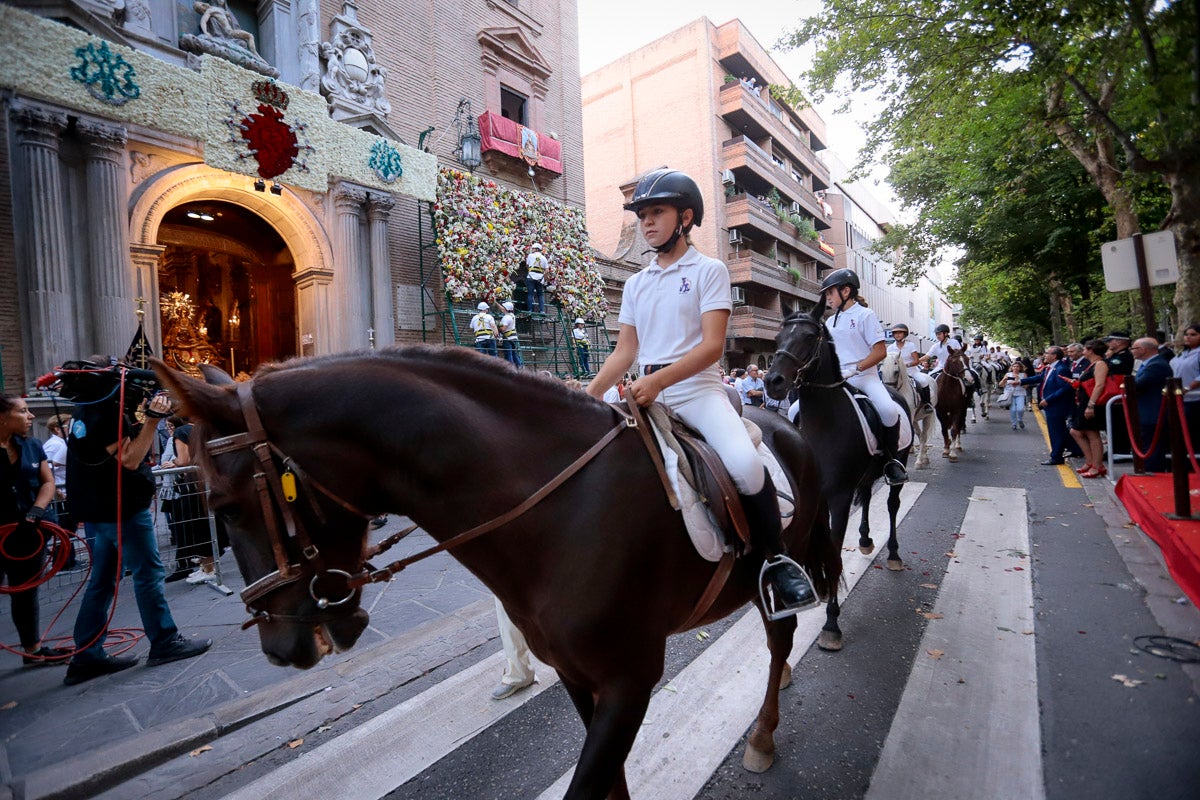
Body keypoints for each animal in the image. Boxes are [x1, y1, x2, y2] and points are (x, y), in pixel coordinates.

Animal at [152, 345, 844, 800]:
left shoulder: (631, 678)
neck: (560, 507)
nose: (278, 646)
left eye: (223, 505)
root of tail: (780, 419)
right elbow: (609, 787)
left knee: (782, 631)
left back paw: (763, 735)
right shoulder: (579, 675)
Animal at [763, 299, 912, 652]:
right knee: (869, 495)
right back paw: (866, 540)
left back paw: (893, 553)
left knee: (892, 505)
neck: (824, 424)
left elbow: (832, 550)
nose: (772, 381)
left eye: (808, 336)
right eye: (777, 338)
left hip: (899, 462)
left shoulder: (839, 499)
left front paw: (831, 624)